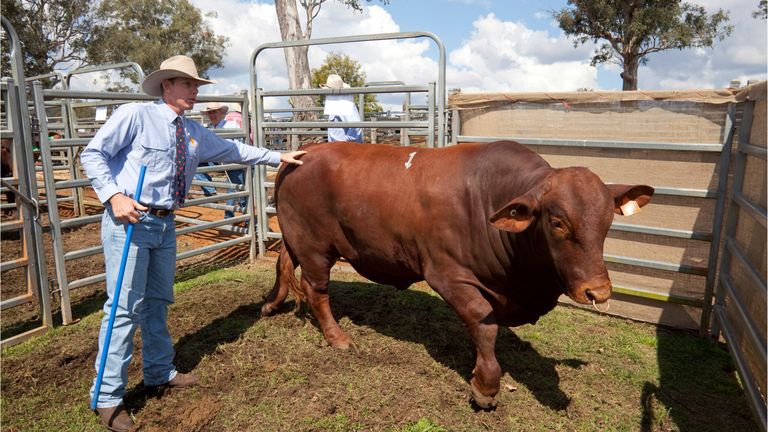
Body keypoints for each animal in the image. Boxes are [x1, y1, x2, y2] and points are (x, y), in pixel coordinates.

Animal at [260, 142, 652, 408]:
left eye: (608, 220)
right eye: (557, 222)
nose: (598, 291)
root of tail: (307, 151)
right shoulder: (448, 274)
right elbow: (483, 323)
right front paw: (485, 385)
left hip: (295, 238)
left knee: (283, 262)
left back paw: (271, 304)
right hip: (314, 246)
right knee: (316, 289)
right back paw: (337, 337)